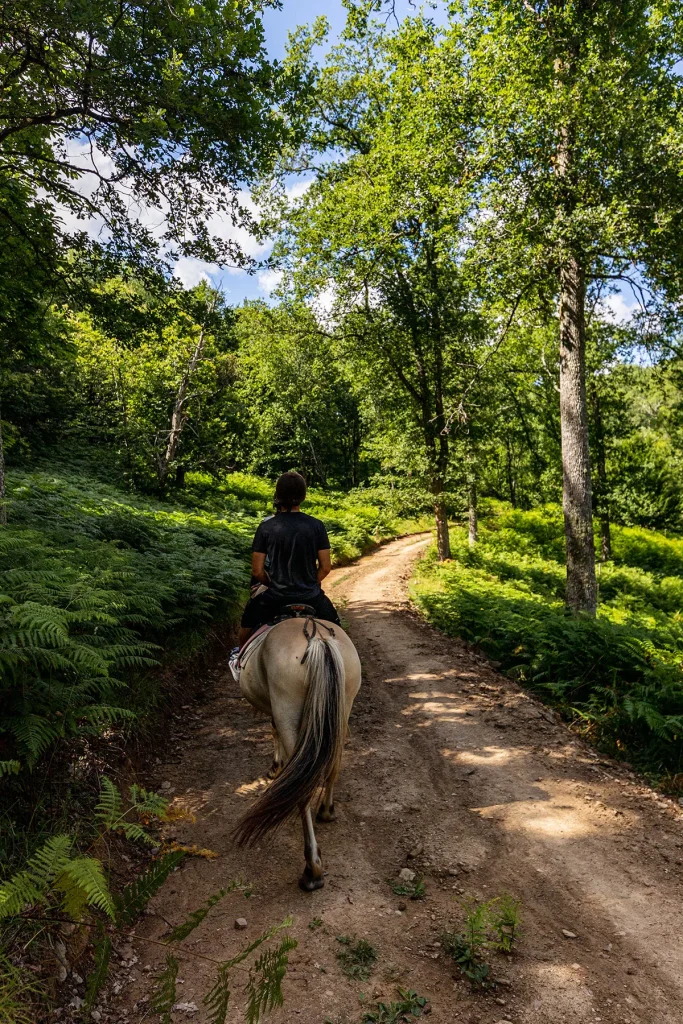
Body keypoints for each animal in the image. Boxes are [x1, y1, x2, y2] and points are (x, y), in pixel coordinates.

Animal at [233, 614, 362, 888]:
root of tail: (317, 638)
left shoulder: (275, 711)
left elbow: (273, 731)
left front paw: (275, 769)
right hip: (342, 709)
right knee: (333, 767)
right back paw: (327, 811)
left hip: (287, 709)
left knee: (302, 788)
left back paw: (312, 869)